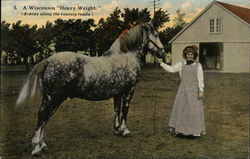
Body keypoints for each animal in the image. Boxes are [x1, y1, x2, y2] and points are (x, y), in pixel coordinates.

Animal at [15, 21, 164, 155]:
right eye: (156, 35)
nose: (162, 53)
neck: (126, 56)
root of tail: (48, 60)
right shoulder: (129, 90)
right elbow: (125, 111)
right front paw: (125, 131)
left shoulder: (118, 93)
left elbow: (117, 110)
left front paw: (117, 130)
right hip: (54, 98)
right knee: (42, 117)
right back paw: (37, 148)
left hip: (49, 98)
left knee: (43, 118)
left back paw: (42, 145)